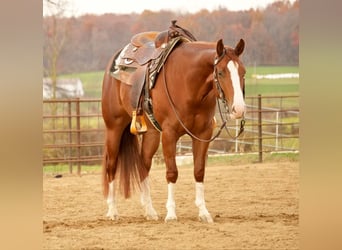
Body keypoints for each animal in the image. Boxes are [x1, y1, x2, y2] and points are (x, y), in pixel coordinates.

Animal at [101, 37, 246, 223]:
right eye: (220, 72)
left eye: (243, 72)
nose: (239, 109)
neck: (188, 85)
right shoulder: (169, 134)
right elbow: (172, 172)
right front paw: (171, 213)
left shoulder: (203, 134)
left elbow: (199, 171)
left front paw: (203, 212)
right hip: (114, 127)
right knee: (111, 165)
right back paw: (112, 211)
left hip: (152, 134)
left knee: (143, 165)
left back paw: (149, 211)